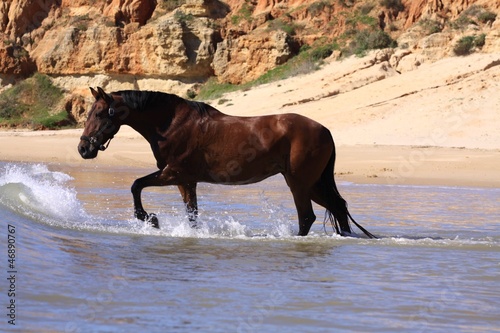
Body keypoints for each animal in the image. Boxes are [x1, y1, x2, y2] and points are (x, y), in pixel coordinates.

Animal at [78, 85, 376, 236]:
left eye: (101, 113)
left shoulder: (173, 173)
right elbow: (192, 215)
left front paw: (149, 219)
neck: (172, 124)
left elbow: (136, 185)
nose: (83, 148)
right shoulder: (186, 181)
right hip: (312, 184)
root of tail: (324, 129)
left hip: (300, 184)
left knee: (307, 217)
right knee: (337, 207)